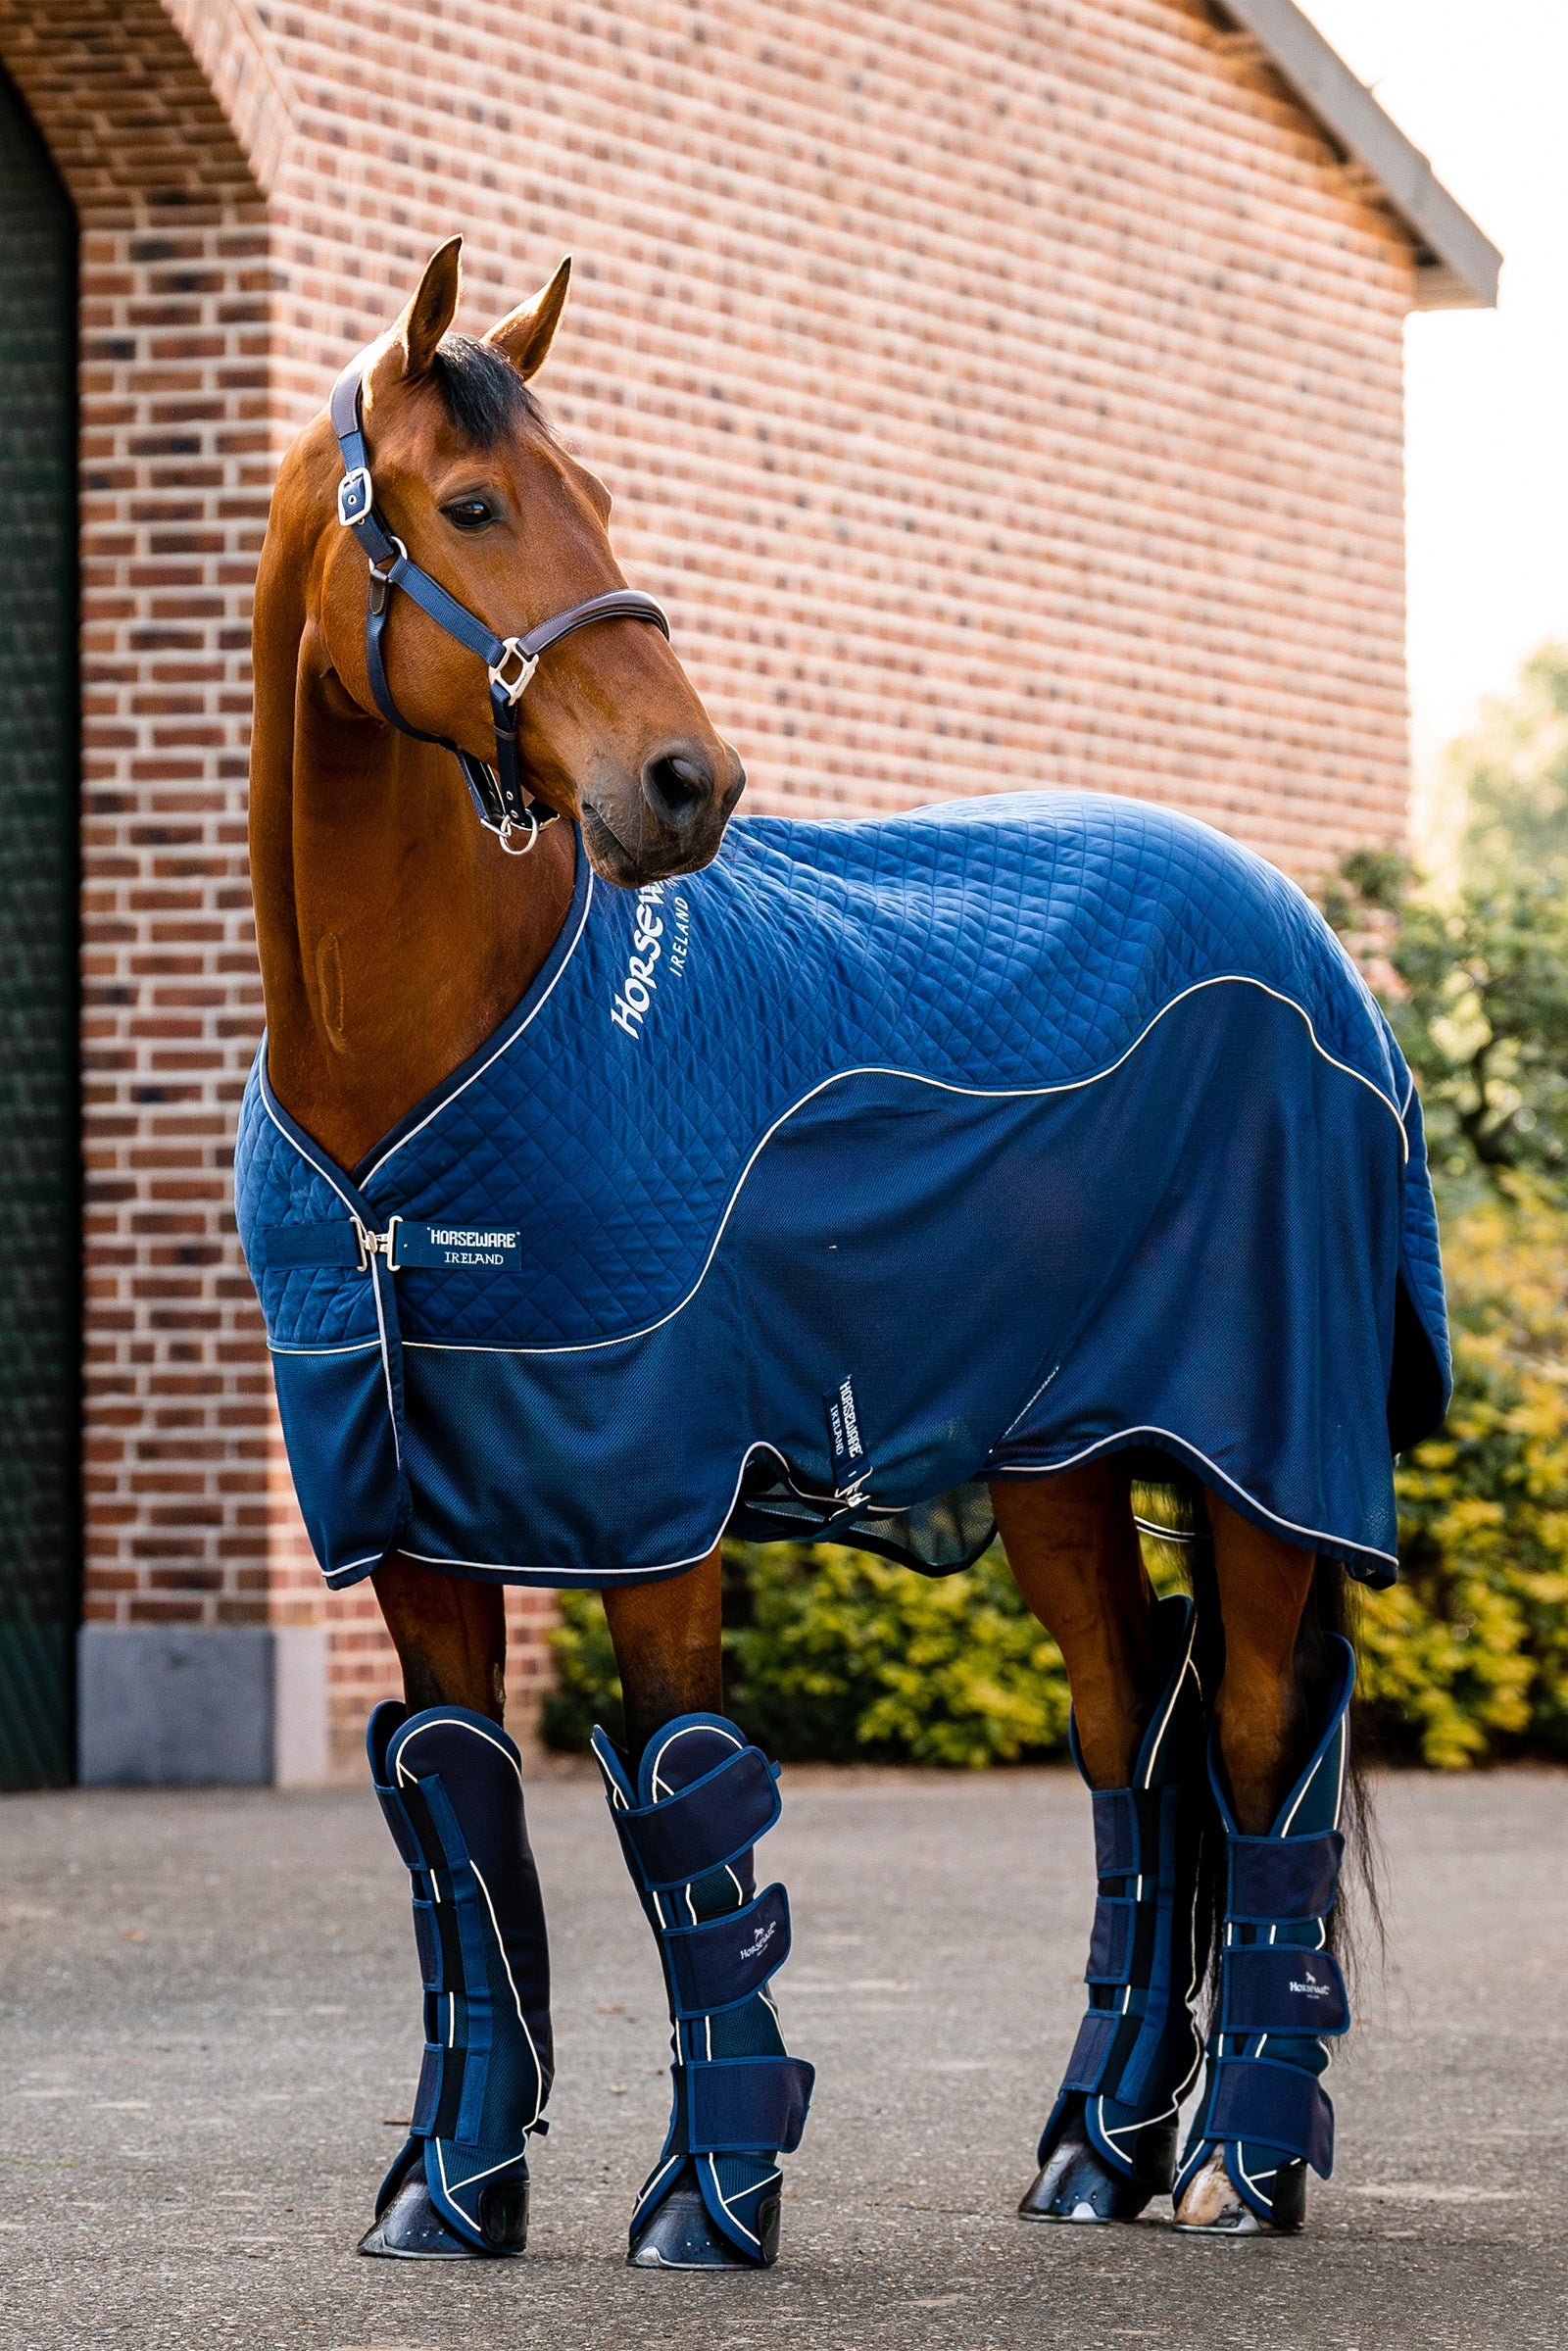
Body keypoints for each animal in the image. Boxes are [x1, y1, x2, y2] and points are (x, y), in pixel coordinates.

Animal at [241, 238, 1449, 2269]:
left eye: (602, 494)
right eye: (472, 505)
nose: (685, 782)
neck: (408, 1077)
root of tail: (1302, 938)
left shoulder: (652, 1503)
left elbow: (687, 1811)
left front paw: (707, 2203)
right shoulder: (408, 1517)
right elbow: (459, 1816)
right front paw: (448, 2191)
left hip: (1263, 1454)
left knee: (1262, 1748)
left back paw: (1239, 2166)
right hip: (1063, 1462)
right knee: (1138, 1750)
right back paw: (1094, 2151)